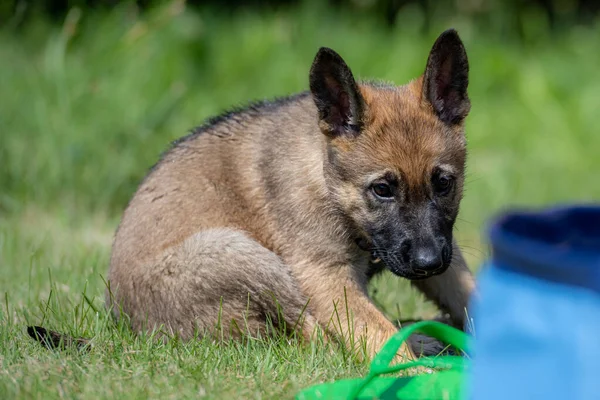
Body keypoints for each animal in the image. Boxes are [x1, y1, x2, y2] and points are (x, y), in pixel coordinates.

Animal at [103, 28, 476, 360]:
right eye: (382, 190)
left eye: (443, 183)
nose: (428, 263)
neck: (329, 187)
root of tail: (123, 318)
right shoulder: (325, 277)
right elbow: (374, 331)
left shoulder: (447, 250)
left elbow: (469, 291)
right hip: (244, 256)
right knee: (315, 339)